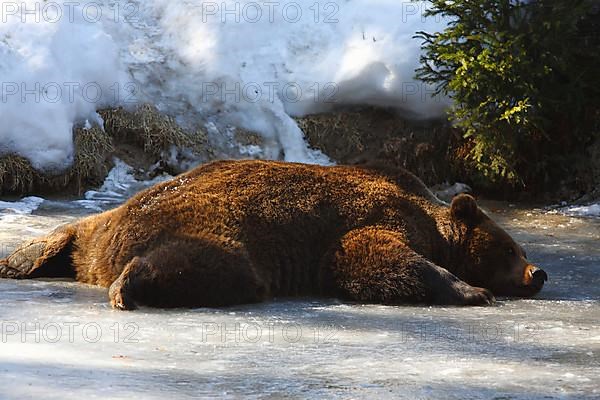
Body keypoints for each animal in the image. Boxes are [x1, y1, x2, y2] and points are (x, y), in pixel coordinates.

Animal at [0, 159, 548, 310]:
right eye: (509, 246)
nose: (537, 272)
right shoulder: (378, 217)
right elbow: (364, 256)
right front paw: (470, 289)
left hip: (99, 228)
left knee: (69, 233)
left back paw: (17, 260)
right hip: (221, 232)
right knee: (210, 267)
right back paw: (127, 287)